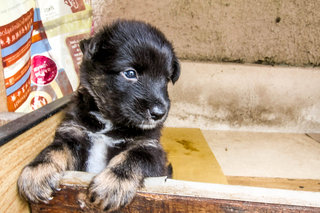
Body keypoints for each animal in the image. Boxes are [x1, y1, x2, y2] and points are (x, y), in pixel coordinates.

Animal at [16, 19, 180, 211]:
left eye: (166, 79)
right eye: (130, 73)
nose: (159, 113)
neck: (109, 121)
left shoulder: (149, 147)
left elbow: (133, 158)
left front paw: (114, 183)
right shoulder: (73, 133)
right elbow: (54, 149)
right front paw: (38, 170)